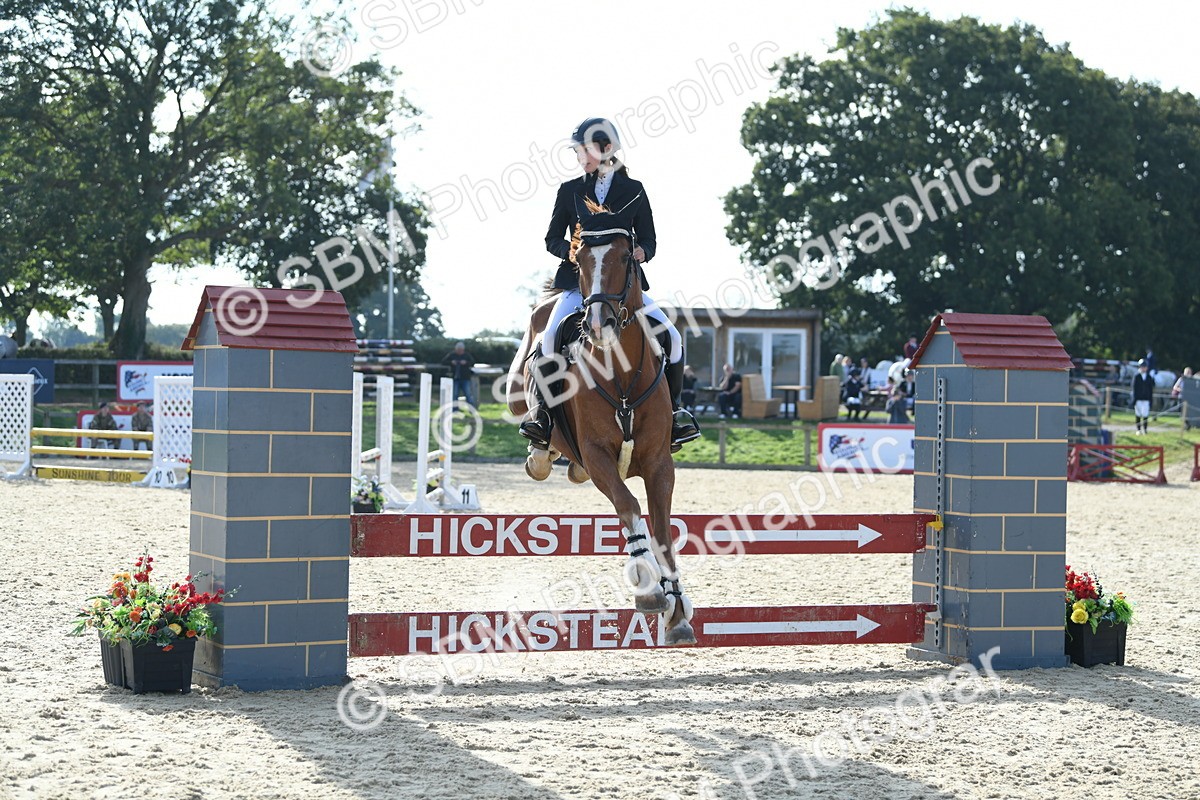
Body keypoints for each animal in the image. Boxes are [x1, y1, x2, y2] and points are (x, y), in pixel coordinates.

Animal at [506, 197, 696, 646]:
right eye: (579, 261)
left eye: (627, 256)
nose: (597, 325)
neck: (622, 375)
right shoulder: (597, 457)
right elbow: (628, 506)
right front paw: (648, 589)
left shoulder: (660, 463)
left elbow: (663, 531)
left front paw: (677, 611)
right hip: (518, 392)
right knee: (539, 438)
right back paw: (538, 452)